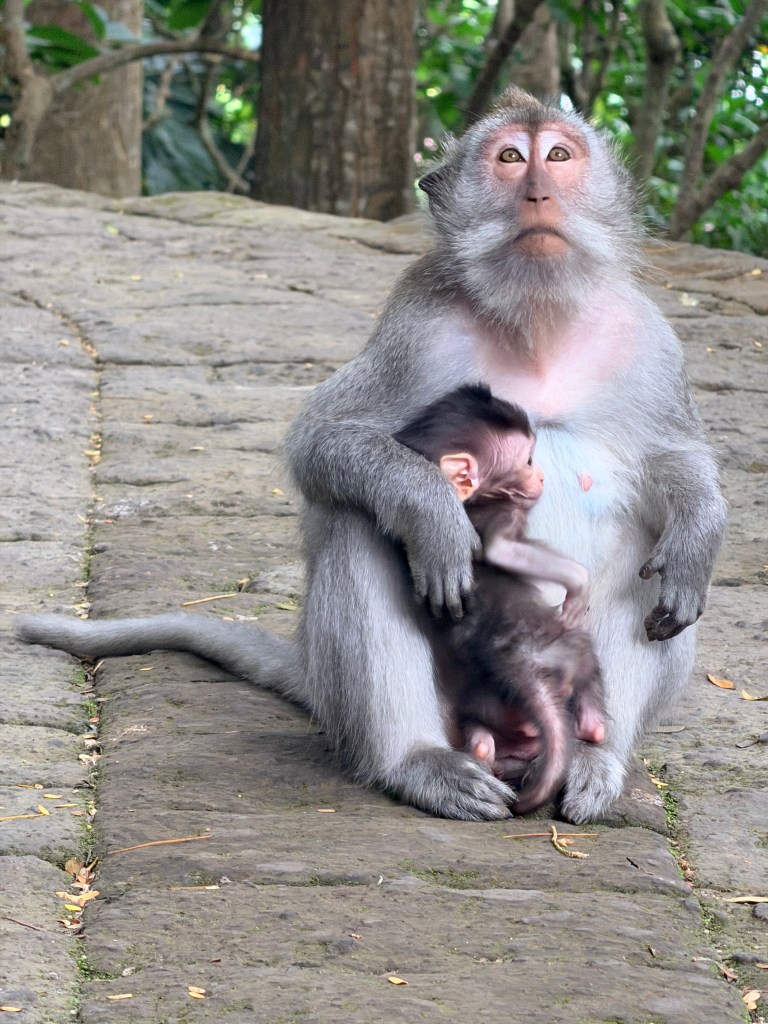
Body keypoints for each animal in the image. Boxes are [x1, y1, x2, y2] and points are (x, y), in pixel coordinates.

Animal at [393, 383, 606, 814]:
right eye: (527, 459)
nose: (541, 475)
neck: (473, 501)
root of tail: (518, 661)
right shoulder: (502, 511)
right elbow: (501, 550)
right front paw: (577, 584)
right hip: (563, 649)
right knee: (585, 659)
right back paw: (594, 725)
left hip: (483, 703)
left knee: (478, 725)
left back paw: (481, 747)